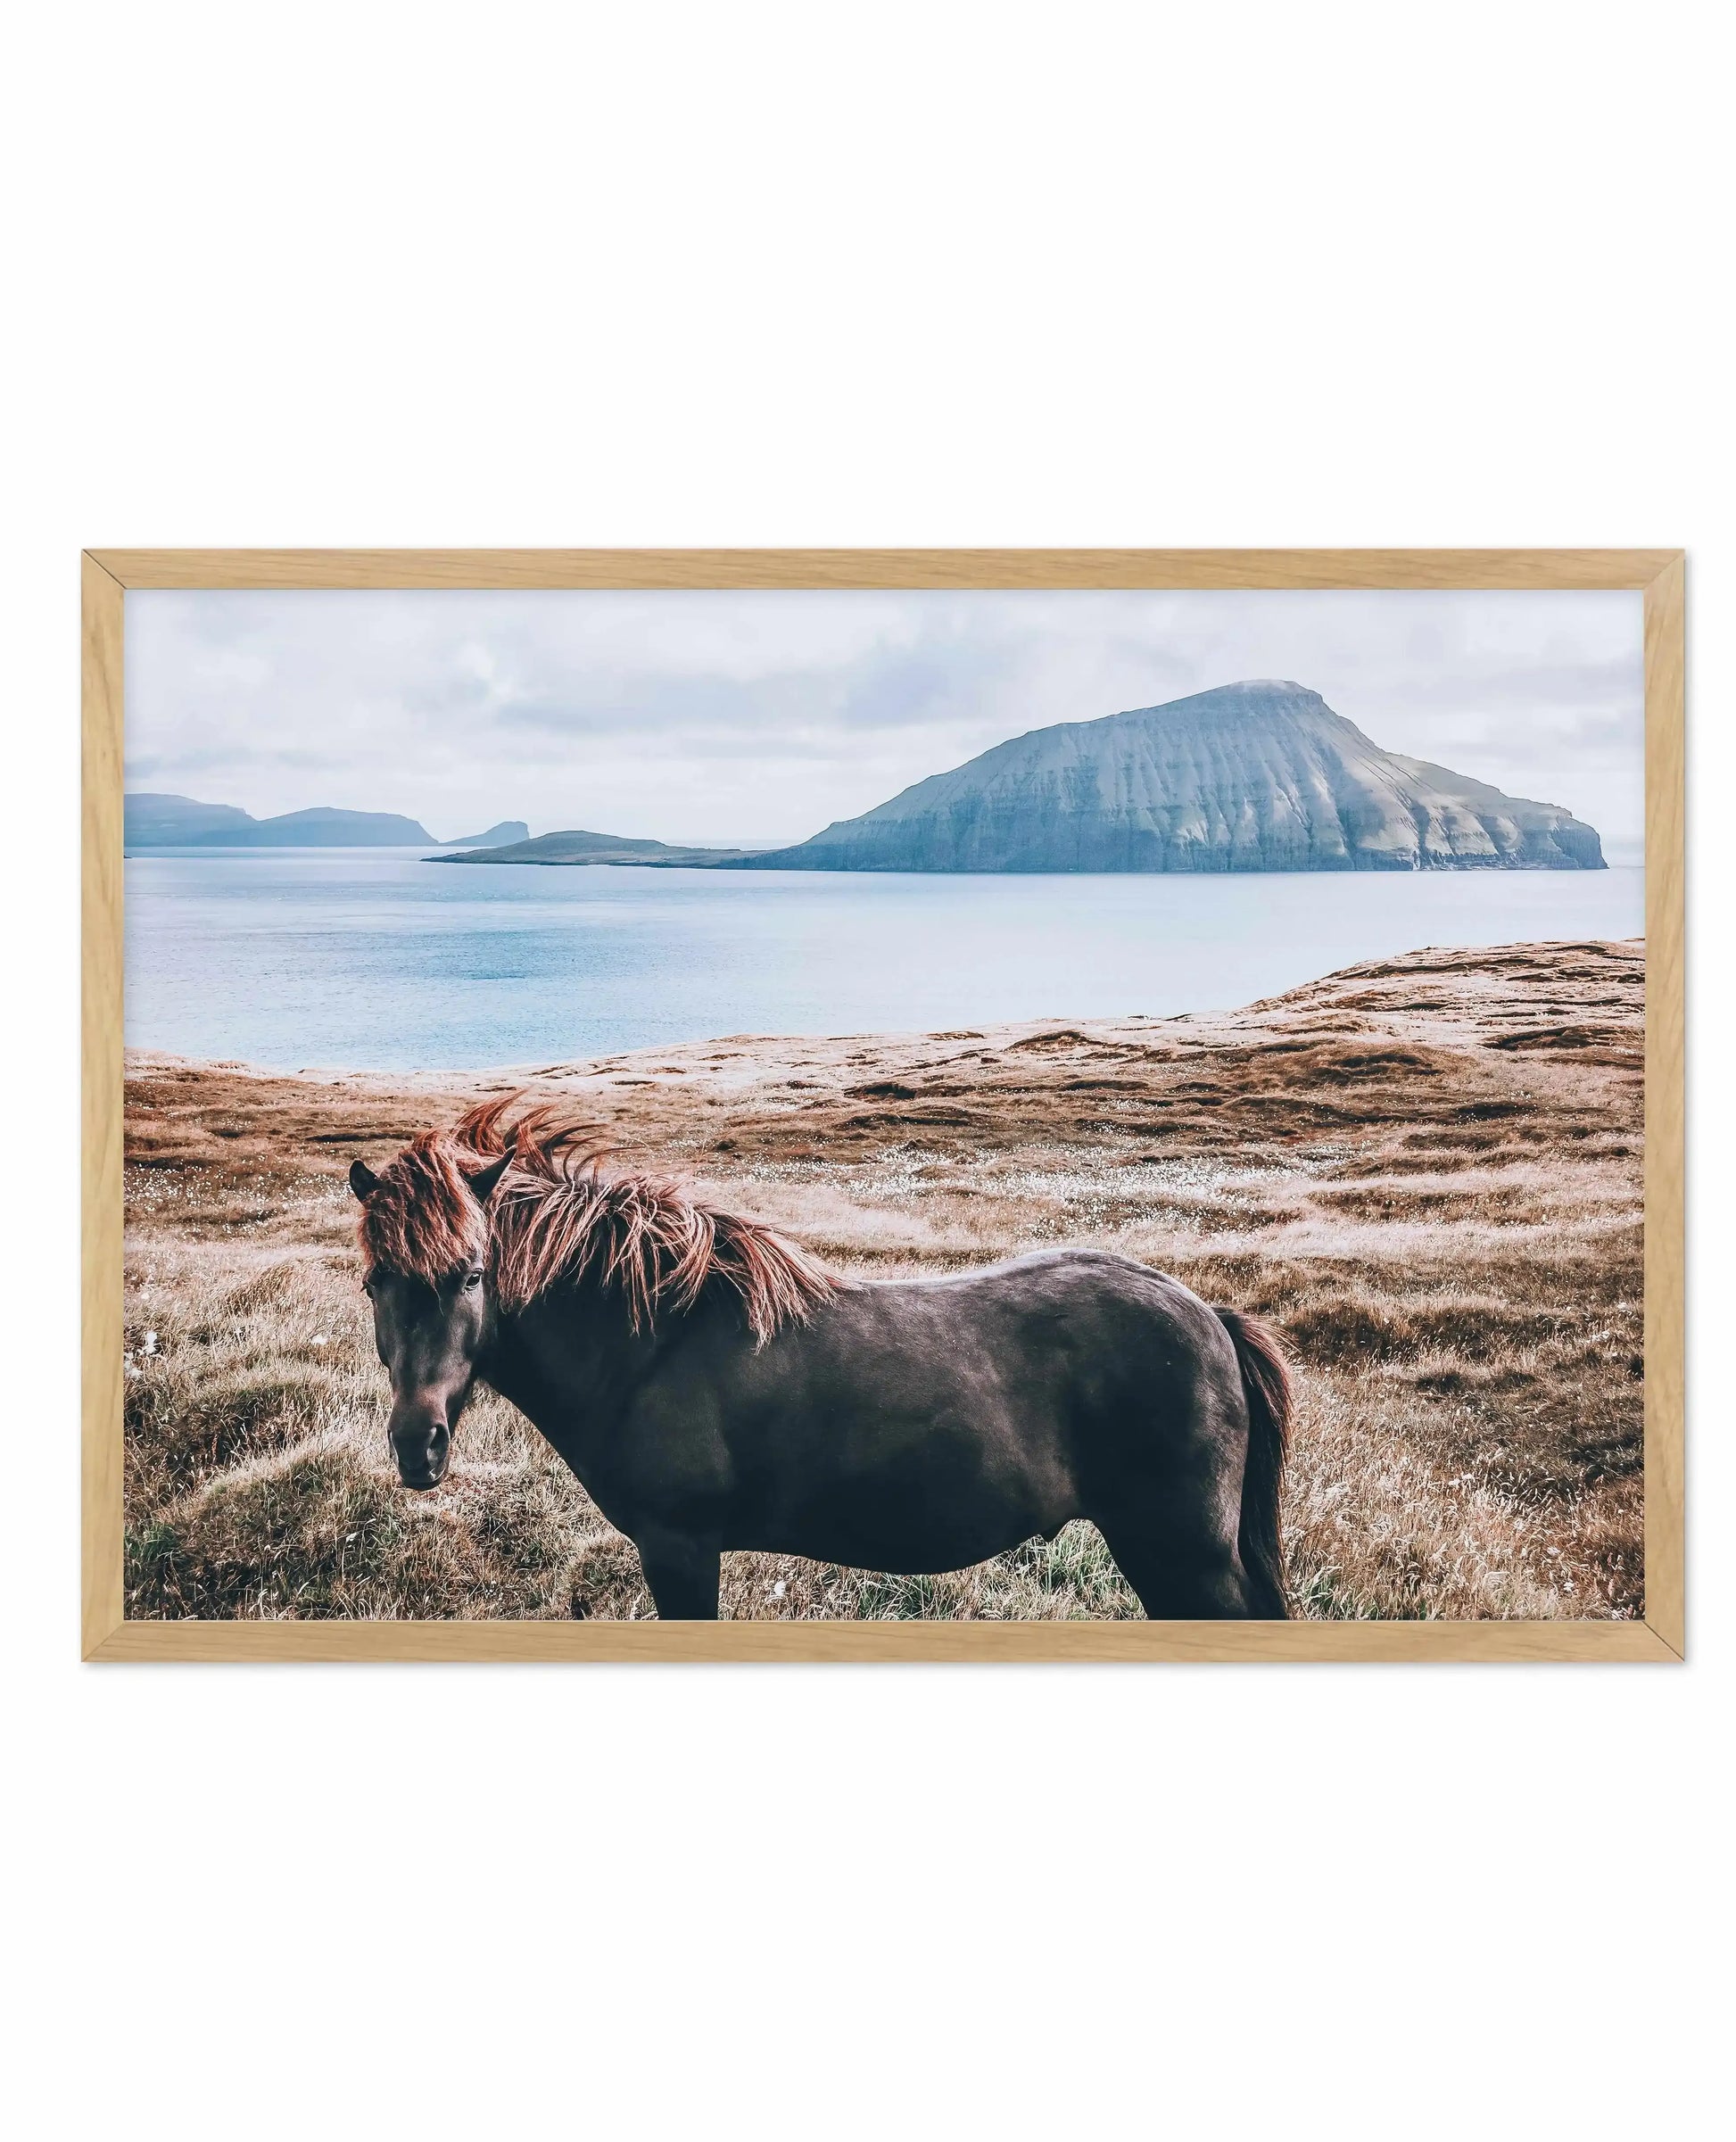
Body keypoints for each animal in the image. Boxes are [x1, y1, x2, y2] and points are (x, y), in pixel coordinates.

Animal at [348, 1097, 1293, 1620]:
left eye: (473, 1273)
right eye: (373, 1281)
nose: (417, 1446)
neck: (649, 1345)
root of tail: (1210, 1316)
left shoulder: (679, 1547)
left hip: (1182, 1553)